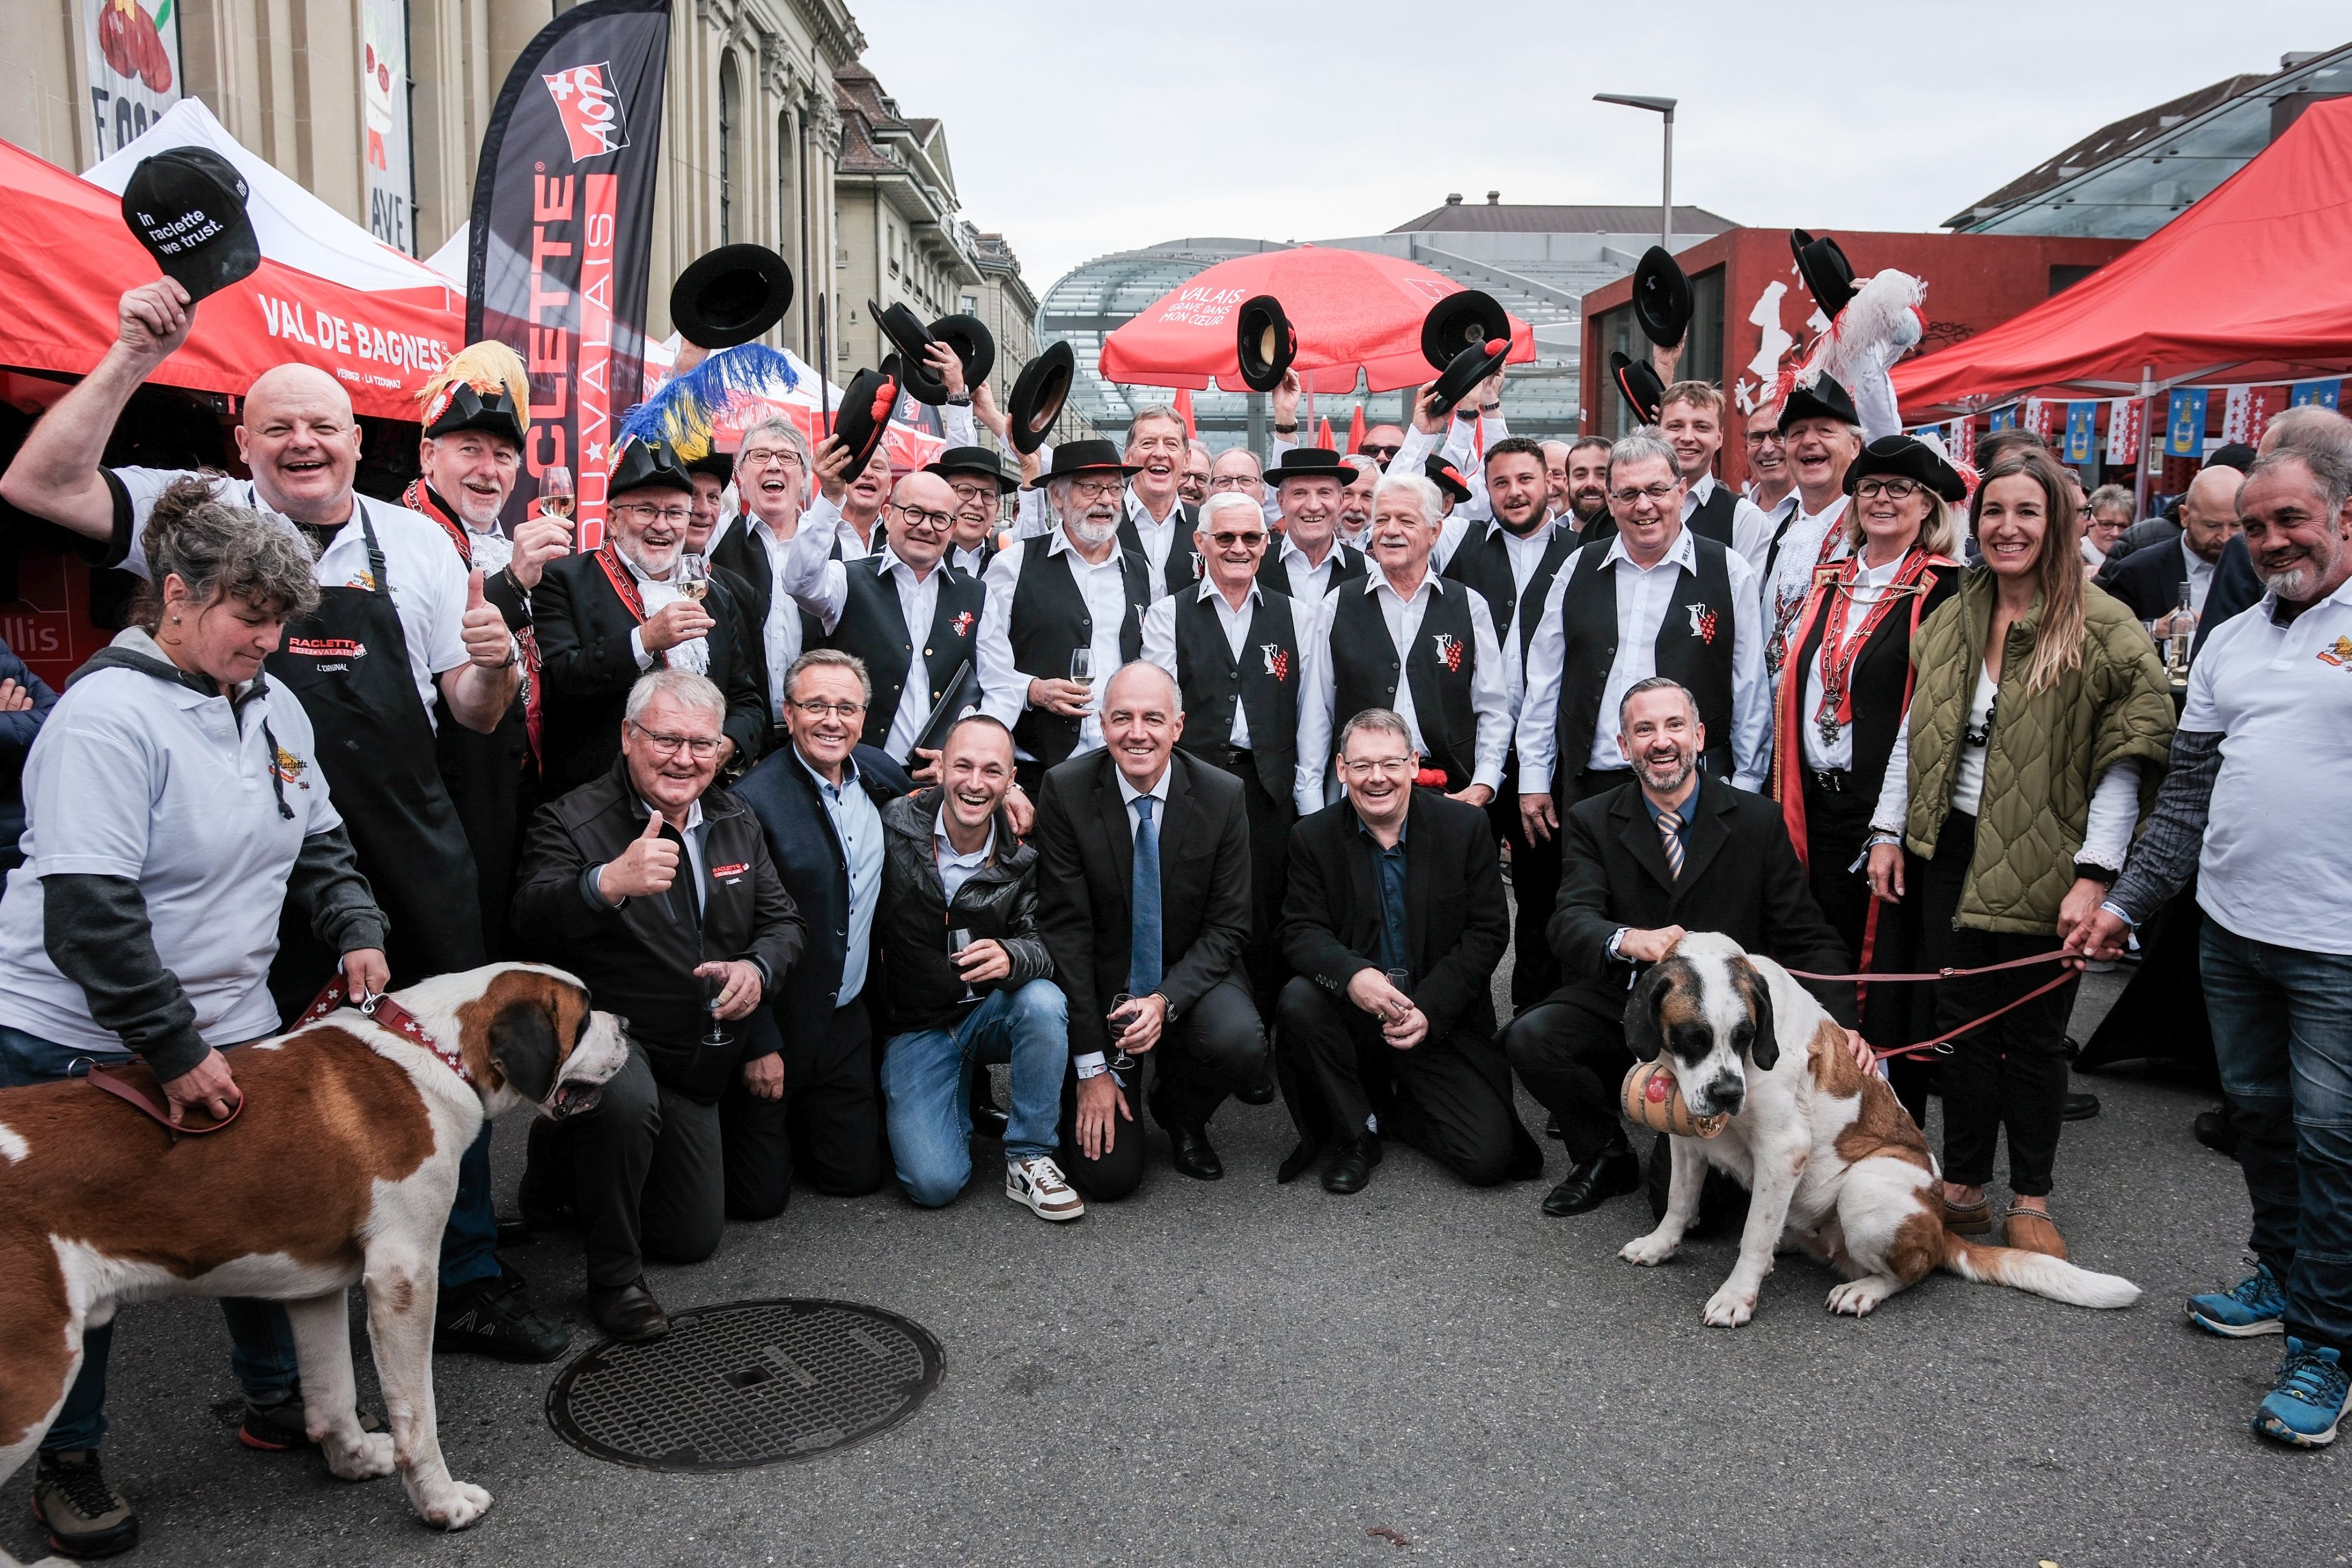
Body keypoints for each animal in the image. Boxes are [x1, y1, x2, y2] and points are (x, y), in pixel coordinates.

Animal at [0, 964, 630, 1561]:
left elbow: (333, 1391)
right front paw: (442, 1503)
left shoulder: (312, 1284)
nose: (625, 1024)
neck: (435, 1049)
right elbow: (417, 1415)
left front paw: (355, 1459)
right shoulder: (404, 1278)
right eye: (584, 1017)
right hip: (35, 1371)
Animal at [1618, 940, 2136, 1335]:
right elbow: (1679, 1200)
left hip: (1865, 1187)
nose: (1727, 1093)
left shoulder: (1784, 1152)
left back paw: (1862, 1288)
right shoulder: (1688, 1137)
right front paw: (1660, 1245)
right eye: (1693, 1037)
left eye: (1745, 1036)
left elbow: (1753, 1236)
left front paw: (1737, 1296)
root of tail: (1940, 1225)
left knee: (1911, 1270)